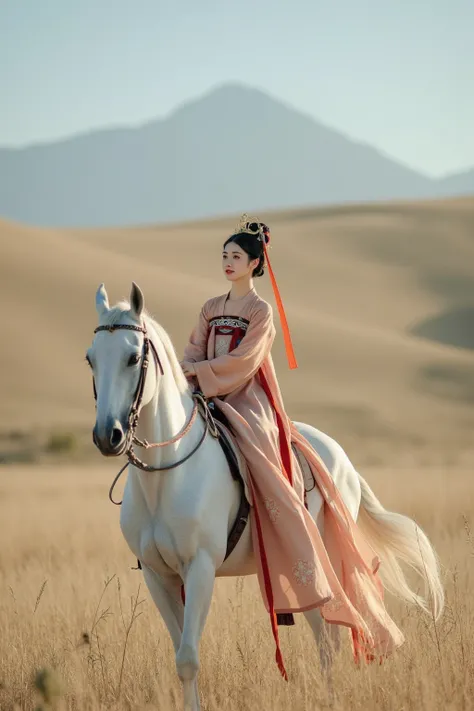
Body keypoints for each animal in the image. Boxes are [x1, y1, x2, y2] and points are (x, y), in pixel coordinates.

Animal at [88, 284, 444, 711]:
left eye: (132, 357)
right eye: (91, 358)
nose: (107, 435)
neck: (166, 474)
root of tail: (338, 454)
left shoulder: (200, 568)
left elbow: (189, 658)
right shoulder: (158, 575)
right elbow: (179, 655)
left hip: (323, 562)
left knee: (334, 636)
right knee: (326, 635)